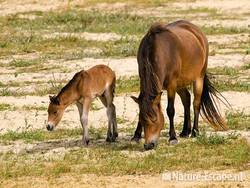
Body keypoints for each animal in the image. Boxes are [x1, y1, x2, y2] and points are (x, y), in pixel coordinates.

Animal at [131, 20, 229, 150]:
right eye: (143, 120)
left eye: (155, 119)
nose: (148, 145)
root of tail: (197, 32)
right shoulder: (142, 80)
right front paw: (136, 136)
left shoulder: (171, 84)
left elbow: (170, 110)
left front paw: (172, 138)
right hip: (181, 83)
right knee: (186, 99)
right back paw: (185, 131)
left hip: (198, 79)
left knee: (196, 103)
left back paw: (195, 131)